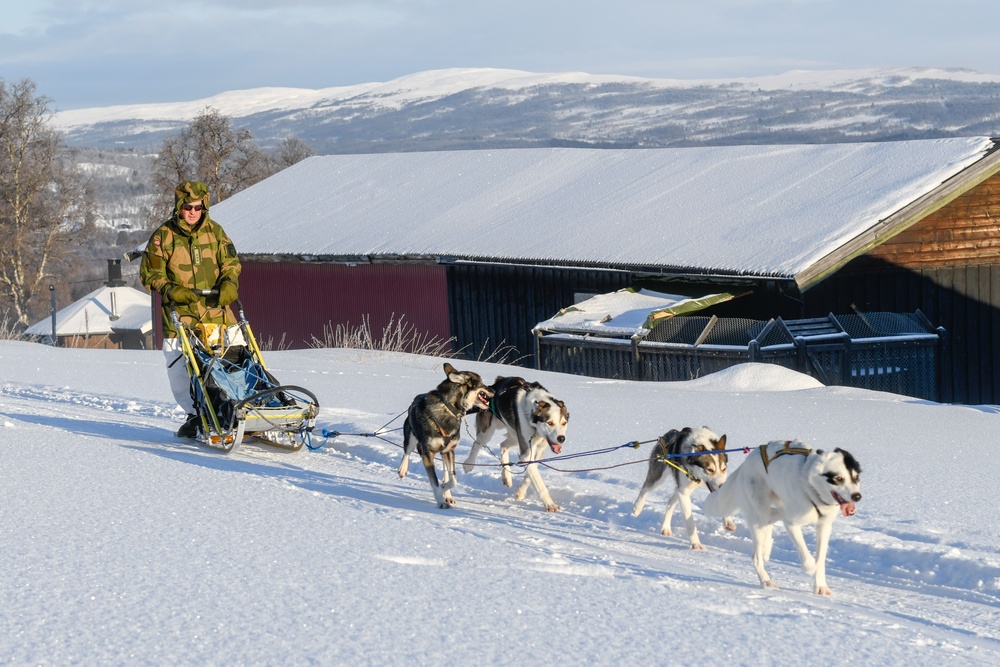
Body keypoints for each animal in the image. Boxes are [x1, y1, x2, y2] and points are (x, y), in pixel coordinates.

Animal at [396, 362, 494, 508]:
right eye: (481, 382)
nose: (494, 391)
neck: (449, 408)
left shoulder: (450, 450)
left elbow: (453, 480)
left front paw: (444, 490)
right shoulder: (427, 453)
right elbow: (434, 481)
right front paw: (440, 500)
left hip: (444, 453)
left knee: (446, 473)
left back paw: (448, 495)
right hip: (411, 434)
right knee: (407, 451)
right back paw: (402, 468)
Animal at [462, 378, 568, 516]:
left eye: (564, 423)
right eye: (550, 423)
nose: (561, 438)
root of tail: (497, 382)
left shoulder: (539, 449)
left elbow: (531, 473)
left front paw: (521, 492)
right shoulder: (526, 452)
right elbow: (538, 482)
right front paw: (550, 504)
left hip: (514, 436)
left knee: (503, 446)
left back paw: (506, 476)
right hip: (488, 432)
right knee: (477, 445)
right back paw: (469, 464)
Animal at [704, 440, 860, 596]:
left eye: (856, 477)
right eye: (838, 478)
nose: (857, 496)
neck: (810, 486)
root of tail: (748, 460)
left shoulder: (824, 526)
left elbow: (820, 559)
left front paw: (820, 585)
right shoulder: (792, 524)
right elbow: (807, 556)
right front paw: (810, 568)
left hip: (771, 508)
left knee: (772, 518)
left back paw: (766, 548)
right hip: (759, 514)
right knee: (756, 556)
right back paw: (766, 580)